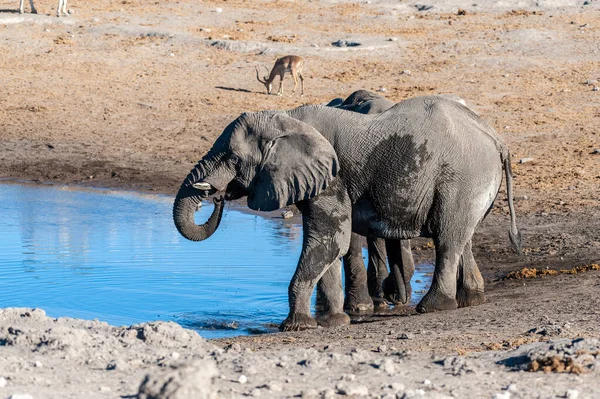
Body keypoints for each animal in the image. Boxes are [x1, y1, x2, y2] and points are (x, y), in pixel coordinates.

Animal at [173, 95, 520, 332]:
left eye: (233, 159)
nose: (217, 195)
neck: (288, 118)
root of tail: (496, 138)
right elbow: (328, 245)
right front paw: (333, 321)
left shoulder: (333, 178)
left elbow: (328, 241)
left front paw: (296, 326)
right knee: (463, 238)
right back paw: (471, 300)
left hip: (462, 176)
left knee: (447, 240)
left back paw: (434, 307)